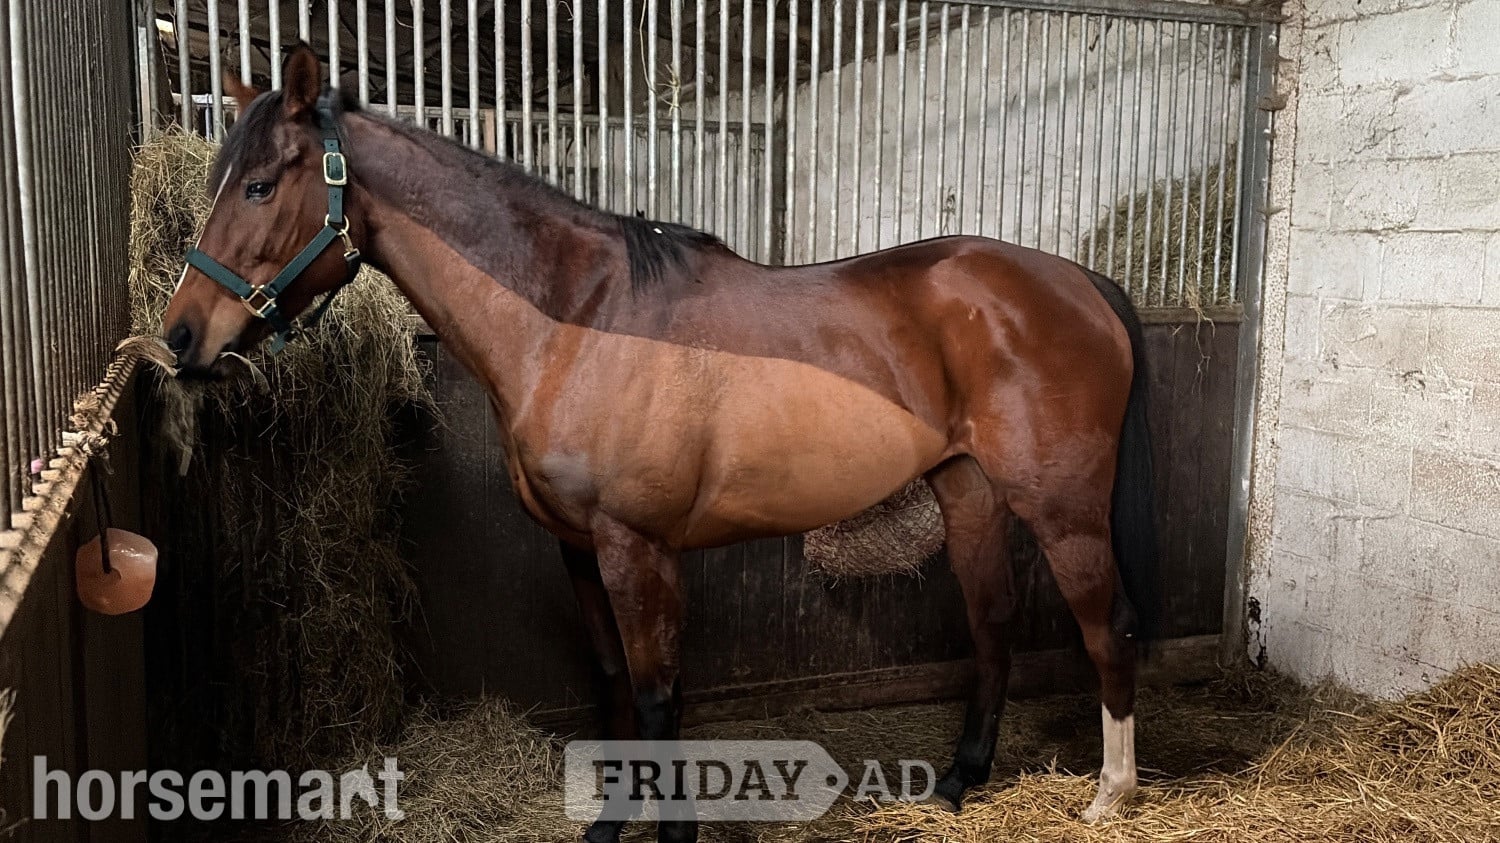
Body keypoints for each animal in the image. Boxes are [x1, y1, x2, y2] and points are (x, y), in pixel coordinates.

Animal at [162, 44, 1159, 843]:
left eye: (259, 185)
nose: (180, 338)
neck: (575, 322)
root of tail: (1077, 283)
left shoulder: (636, 549)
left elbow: (657, 694)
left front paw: (670, 827)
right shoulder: (579, 548)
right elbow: (613, 684)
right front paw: (611, 820)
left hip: (1063, 507)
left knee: (1105, 626)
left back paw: (1109, 796)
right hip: (968, 490)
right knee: (991, 623)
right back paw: (958, 779)